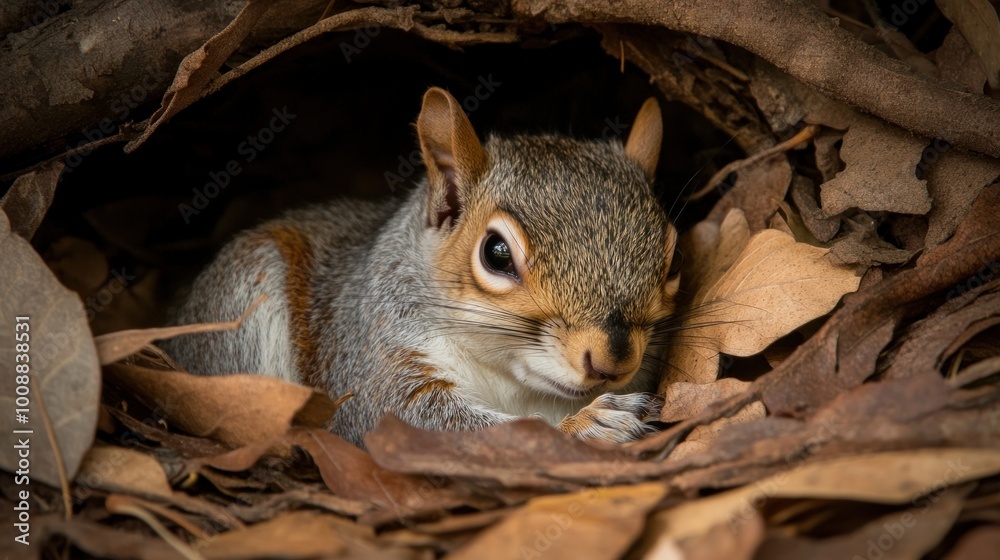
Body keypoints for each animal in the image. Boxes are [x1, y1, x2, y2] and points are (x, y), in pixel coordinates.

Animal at [162, 87, 680, 446]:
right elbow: (424, 421)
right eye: (496, 253)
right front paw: (591, 424)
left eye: (672, 257)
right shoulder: (373, 356)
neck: (509, 378)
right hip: (242, 300)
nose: (612, 360)